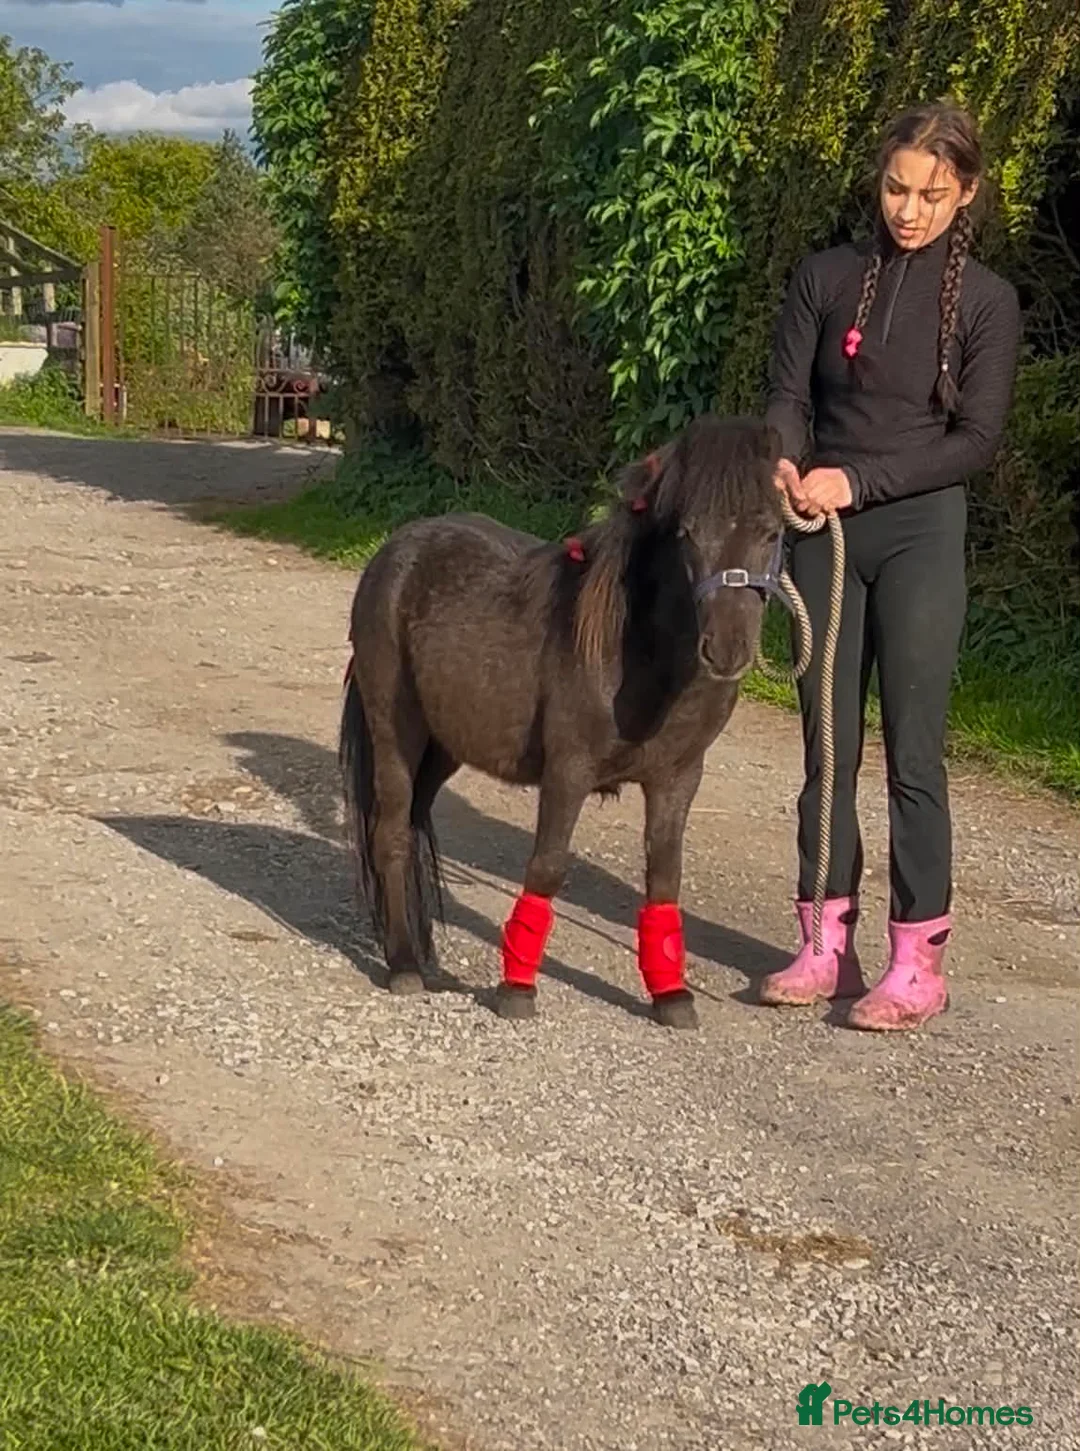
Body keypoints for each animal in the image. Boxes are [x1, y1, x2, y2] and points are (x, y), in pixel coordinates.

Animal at [339, 413, 786, 1029]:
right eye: (688, 533)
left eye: (772, 532)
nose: (727, 649)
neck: (634, 651)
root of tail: (393, 551)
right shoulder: (568, 771)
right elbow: (548, 867)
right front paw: (516, 990)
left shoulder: (677, 780)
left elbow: (664, 879)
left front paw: (671, 996)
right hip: (395, 730)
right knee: (388, 831)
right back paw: (404, 965)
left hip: (444, 745)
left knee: (410, 825)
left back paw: (417, 949)